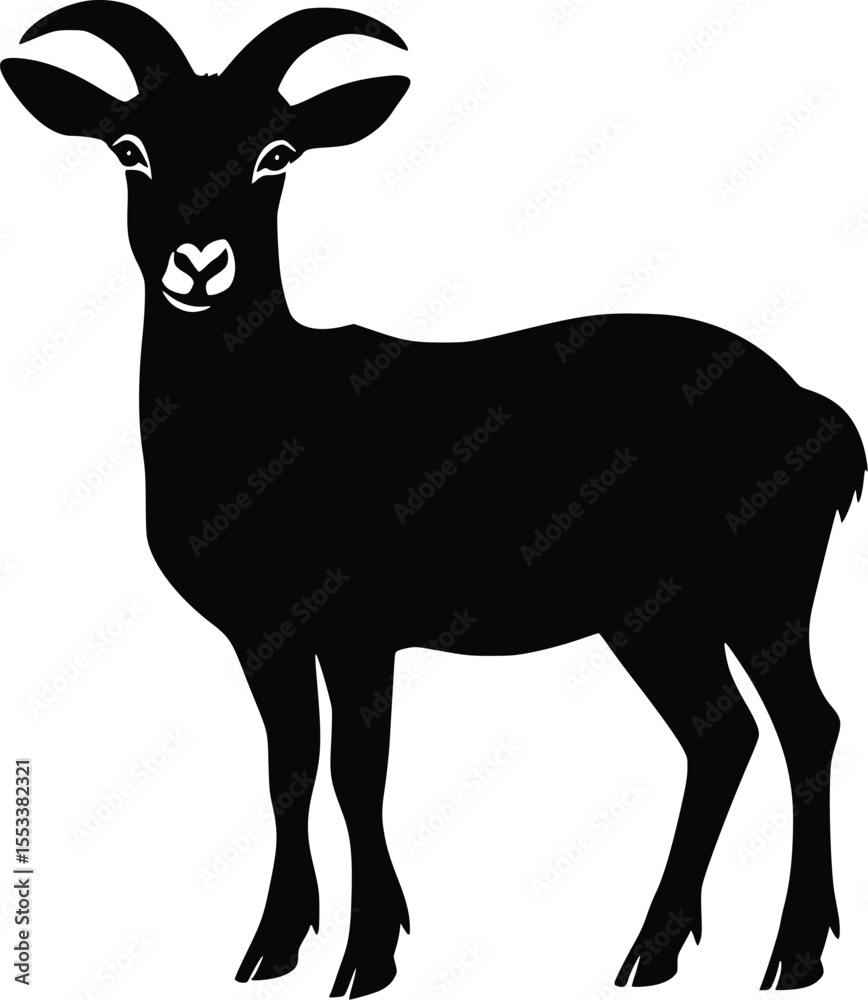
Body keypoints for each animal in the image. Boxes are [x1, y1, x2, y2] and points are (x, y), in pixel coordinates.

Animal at [3, 2, 864, 995]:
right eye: (130, 148)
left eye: (276, 152)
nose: (200, 263)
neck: (269, 414)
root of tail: (818, 411)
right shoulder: (265, 635)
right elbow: (288, 767)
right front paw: (271, 948)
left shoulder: (358, 625)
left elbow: (356, 771)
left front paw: (366, 957)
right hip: (658, 615)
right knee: (723, 735)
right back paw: (655, 951)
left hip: (762, 590)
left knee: (807, 726)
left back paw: (793, 953)